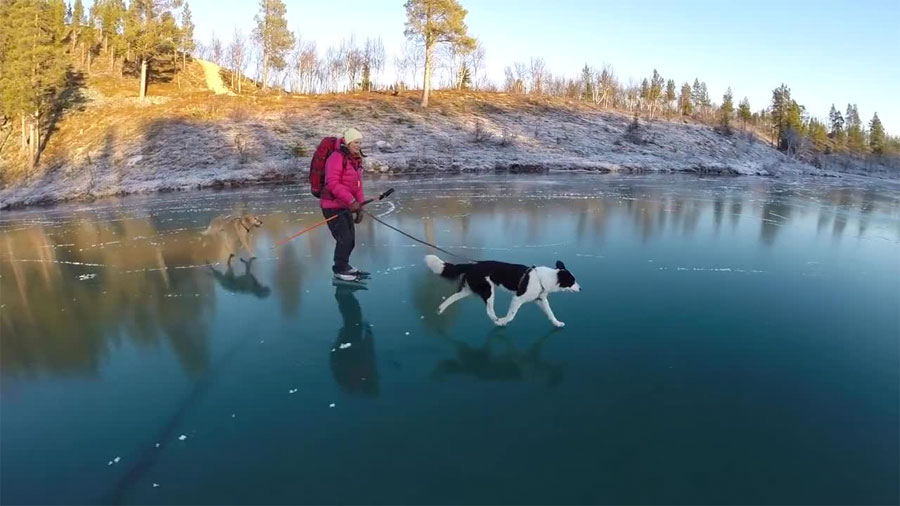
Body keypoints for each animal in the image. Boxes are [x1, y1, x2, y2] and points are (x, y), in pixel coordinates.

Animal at [424, 255, 580, 326]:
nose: (581, 288)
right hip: (488, 291)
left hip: (469, 290)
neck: (543, 278)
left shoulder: (540, 299)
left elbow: (550, 313)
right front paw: (503, 321)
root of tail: (471, 265)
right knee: (489, 311)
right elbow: (511, 315)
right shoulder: (517, 298)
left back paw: (440, 309)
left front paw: (557, 323)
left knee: (452, 298)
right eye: (572, 281)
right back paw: (497, 320)